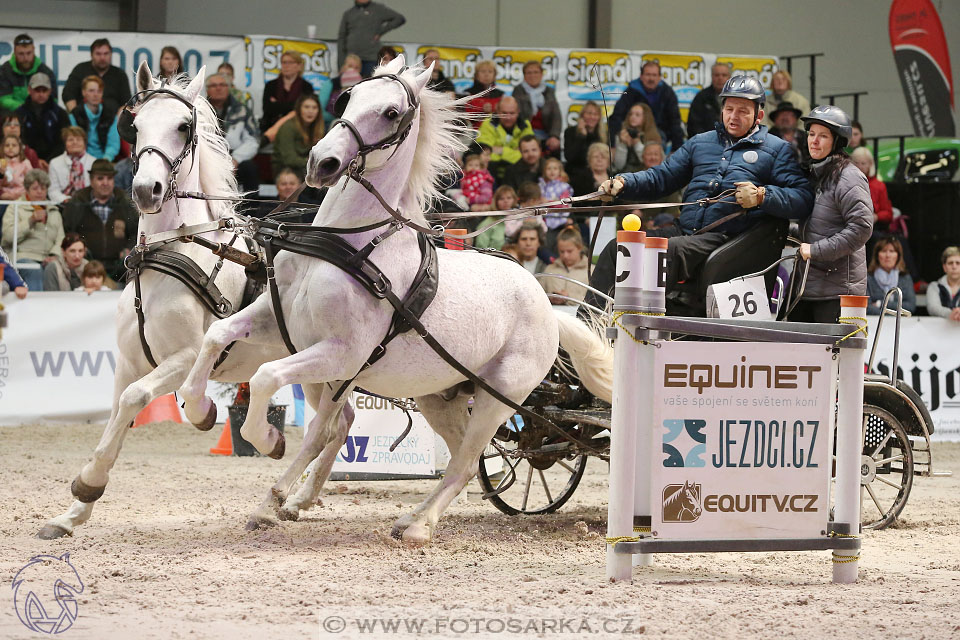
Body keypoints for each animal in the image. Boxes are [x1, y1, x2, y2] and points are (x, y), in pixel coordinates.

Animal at [38, 61, 352, 540]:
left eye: (183, 127)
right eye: (134, 126)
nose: (146, 189)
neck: (172, 252)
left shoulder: (185, 357)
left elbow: (136, 399)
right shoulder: (128, 361)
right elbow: (116, 415)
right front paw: (73, 512)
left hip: (326, 366)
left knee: (330, 426)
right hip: (317, 370)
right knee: (341, 424)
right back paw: (301, 498)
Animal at [180, 57, 616, 544]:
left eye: (391, 113)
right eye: (347, 98)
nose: (322, 162)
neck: (348, 244)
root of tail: (548, 307)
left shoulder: (343, 353)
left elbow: (265, 378)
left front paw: (268, 443)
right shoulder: (280, 323)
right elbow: (217, 336)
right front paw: (200, 408)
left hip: (500, 396)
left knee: (465, 463)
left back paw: (419, 527)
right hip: (439, 396)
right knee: (461, 458)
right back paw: (409, 517)